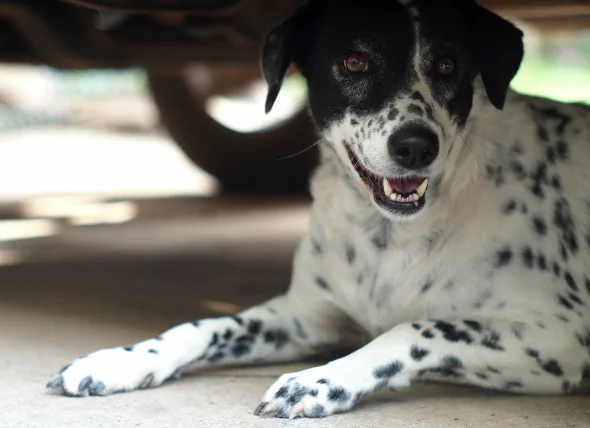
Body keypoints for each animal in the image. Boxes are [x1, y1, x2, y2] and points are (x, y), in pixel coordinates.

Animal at [47, 0, 590, 420]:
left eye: (448, 66)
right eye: (354, 62)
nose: (417, 146)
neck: (387, 236)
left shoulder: (558, 336)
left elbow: (412, 328)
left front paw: (322, 380)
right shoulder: (304, 318)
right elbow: (204, 325)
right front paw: (121, 360)